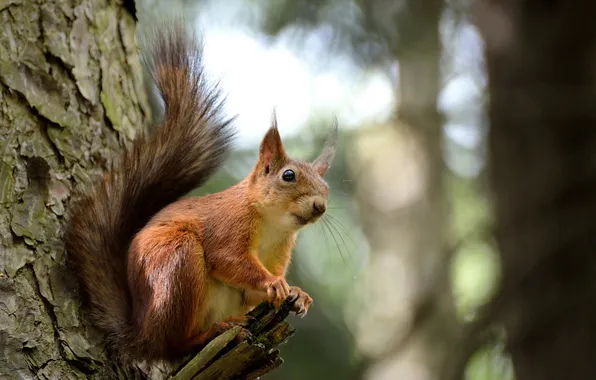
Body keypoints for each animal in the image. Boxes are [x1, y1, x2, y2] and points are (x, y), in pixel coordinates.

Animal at [66, 20, 338, 362]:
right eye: (288, 175)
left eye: (326, 188)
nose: (320, 207)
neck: (273, 225)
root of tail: (142, 334)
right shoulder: (228, 224)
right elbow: (228, 259)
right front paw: (274, 282)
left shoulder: (279, 250)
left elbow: (250, 291)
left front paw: (298, 293)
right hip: (177, 264)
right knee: (174, 345)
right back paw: (210, 333)